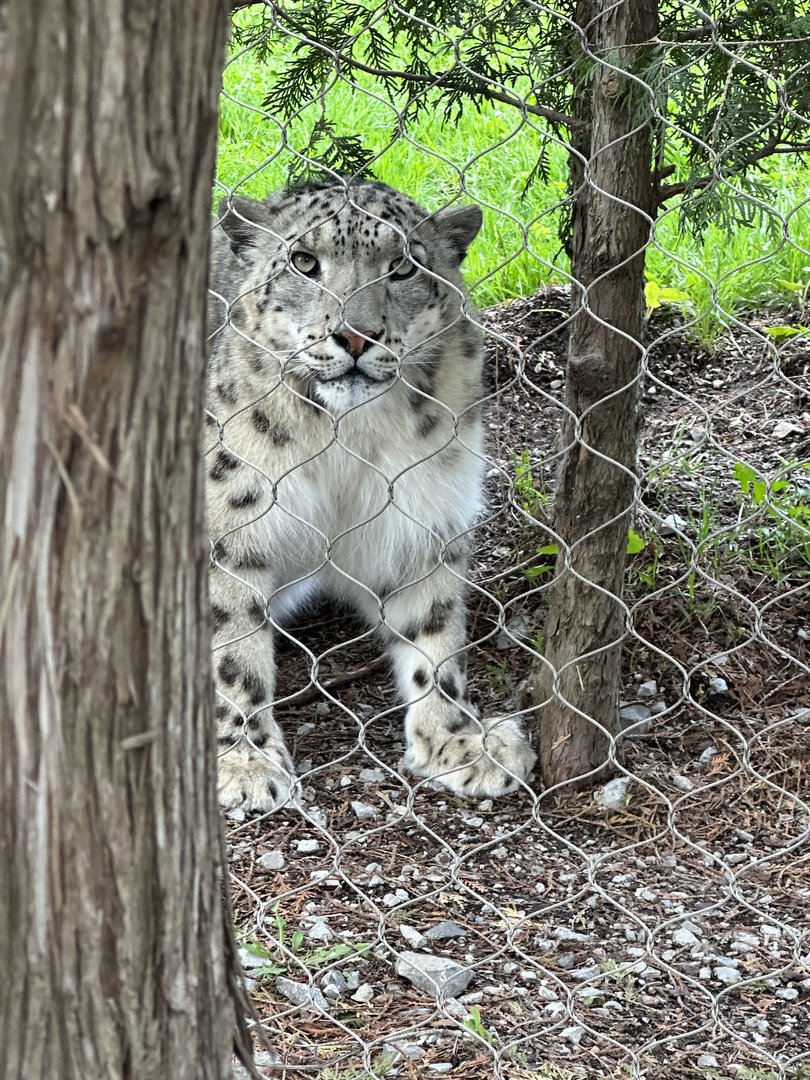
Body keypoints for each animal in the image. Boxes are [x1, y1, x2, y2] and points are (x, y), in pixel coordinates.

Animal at [206, 177, 535, 814]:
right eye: (303, 261)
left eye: (403, 267)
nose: (356, 336)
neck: (348, 441)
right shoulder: (235, 522)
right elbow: (233, 643)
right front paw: (245, 762)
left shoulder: (422, 517)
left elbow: (433, 630)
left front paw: (456, 740)